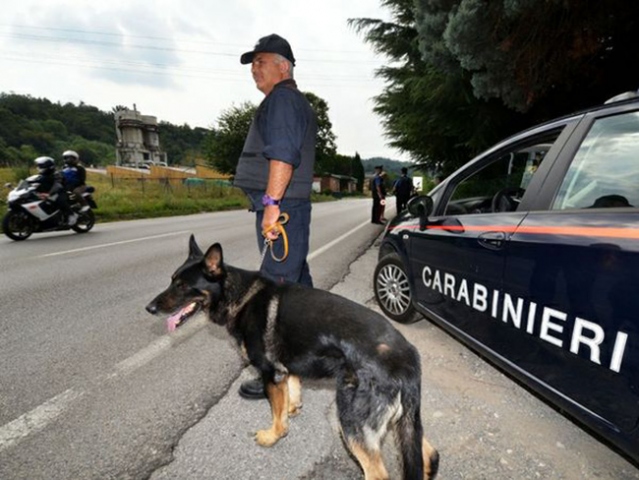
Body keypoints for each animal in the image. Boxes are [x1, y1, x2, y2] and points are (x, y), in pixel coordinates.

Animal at [146, 237, 440, 480]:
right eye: (172, 280)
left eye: (183, 286)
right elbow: (292, 390)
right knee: (429, 455)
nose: (149, 308)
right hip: (403, 422)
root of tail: (407, 356)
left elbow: (276, 413)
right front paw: (291, 407)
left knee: (379, 472)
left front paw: (273, 435)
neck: (240, 295)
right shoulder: (286, 369)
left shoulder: (270, 373)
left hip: (352, 419)